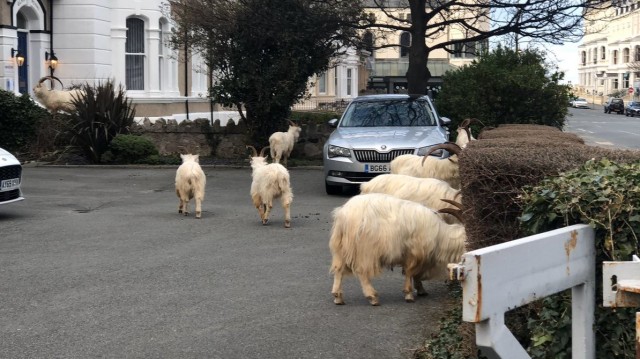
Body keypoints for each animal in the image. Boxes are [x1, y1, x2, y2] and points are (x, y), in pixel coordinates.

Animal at [330, 194, 464, 306]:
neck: (441, 235)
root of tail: (343, 215)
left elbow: (416, 274)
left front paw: (421, 290)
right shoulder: (415, 253)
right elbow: (410, 272)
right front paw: (409, 294)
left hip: (340, 248)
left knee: (338, 269)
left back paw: (338, 297)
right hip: (366, 249)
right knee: (362, 271)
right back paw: (372, 297)